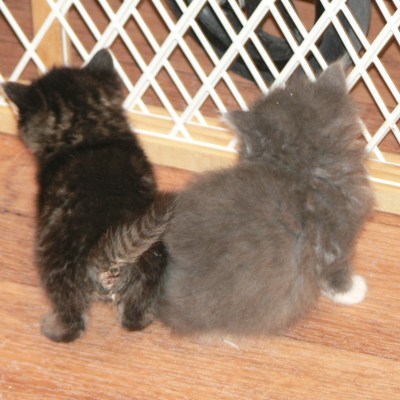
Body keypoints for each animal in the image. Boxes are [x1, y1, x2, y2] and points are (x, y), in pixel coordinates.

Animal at [3, 49, 175, 342]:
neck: (88, 131)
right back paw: (145, 317)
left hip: (58, 273)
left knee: (73, 321)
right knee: (133, 319)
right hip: (152, 266)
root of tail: (109, 259)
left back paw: (54, 329)